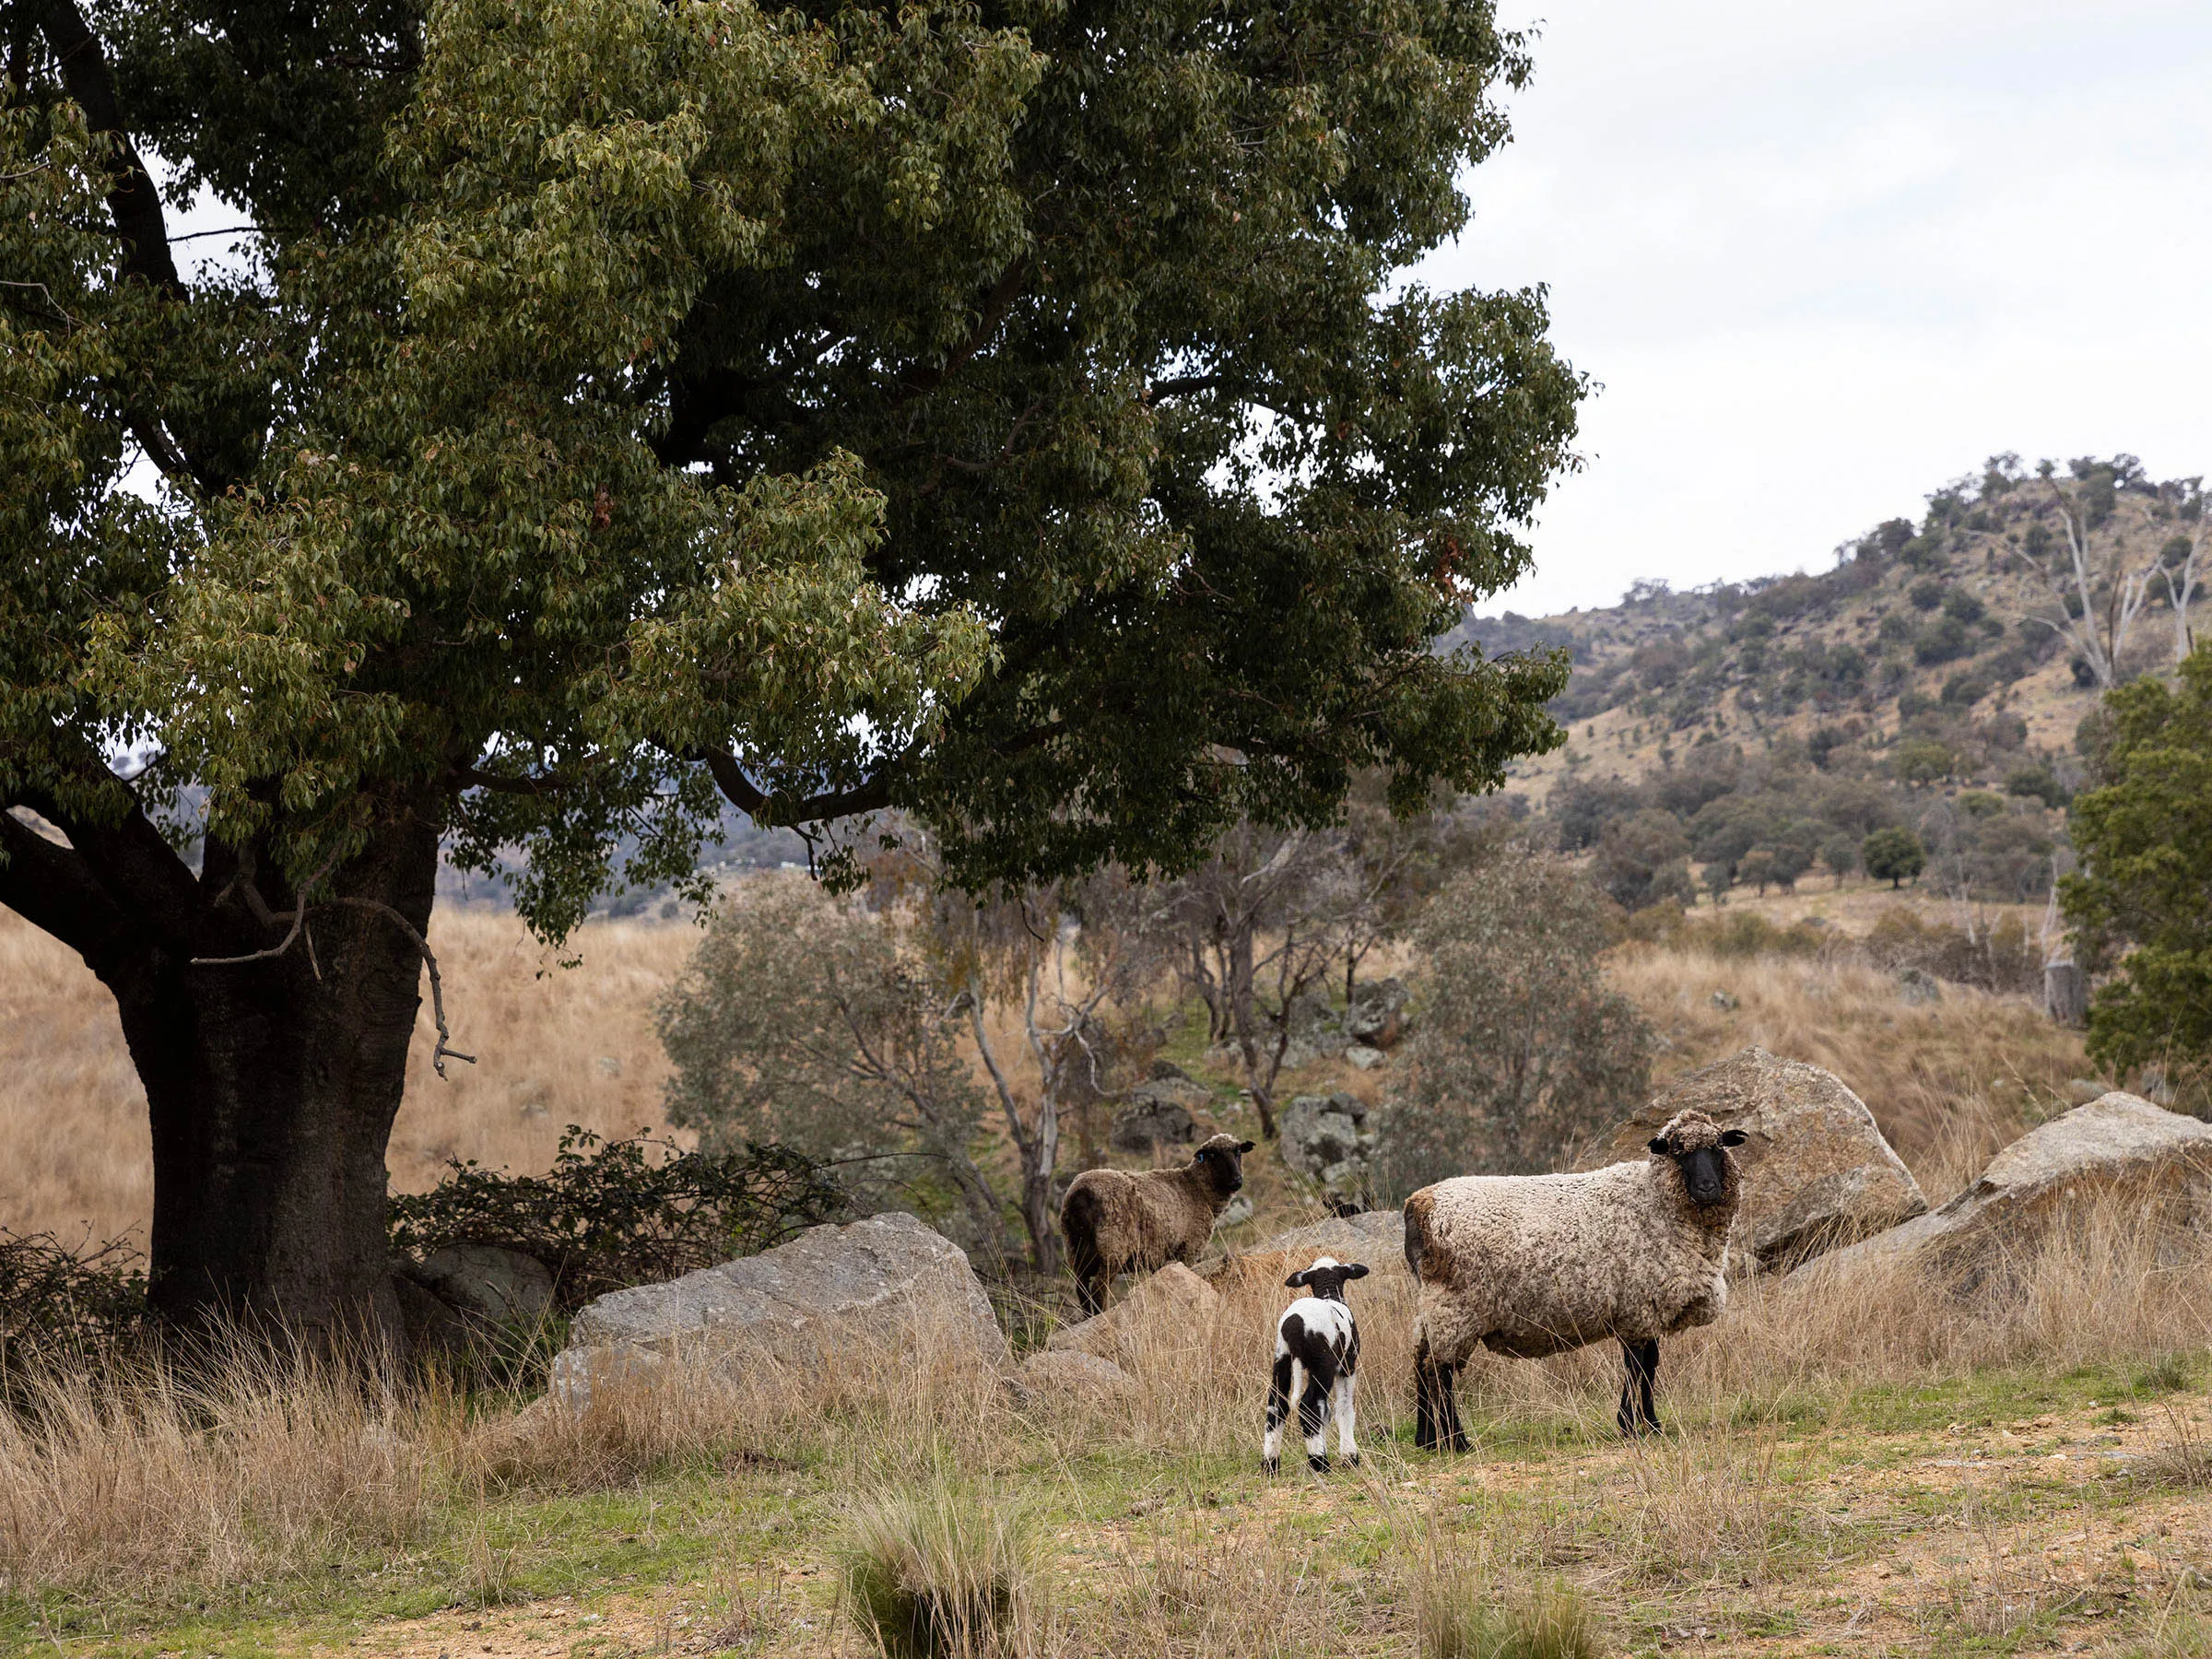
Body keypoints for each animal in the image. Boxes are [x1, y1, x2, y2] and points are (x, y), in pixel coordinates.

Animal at [1062, 1141, 1256, 1318]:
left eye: (1238, 1152)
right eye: (1213, 1155)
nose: (1237, 1180)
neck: (1197, 1189)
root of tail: (1081, 1193)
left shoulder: (1158, 1258)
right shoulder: (1190, 1249)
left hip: (1075, 1250)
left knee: (1082, 1290)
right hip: (1112, 1247)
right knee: (1098, 1289)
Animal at [1265, 1256, 1362, 1477]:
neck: (1329, 1294)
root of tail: (1294, 1327)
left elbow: (1325, 1412)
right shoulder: (1347, 1367)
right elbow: (1344, 1408)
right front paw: (1350, 1457)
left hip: (1282, 1359)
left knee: (1276, 1405)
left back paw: (1270, 1463)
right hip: (1323, 1364)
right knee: (1308, 1406)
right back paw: (1319, 1462)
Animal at [1397, 1110, 1743, 1451]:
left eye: (1717, 1147)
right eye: (1678, 1150)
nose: (1707, 1187)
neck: (1654, 1200)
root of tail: (1419, 1205)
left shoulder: (1649, 1311)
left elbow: (1649, 1366)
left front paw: (1650, 1424)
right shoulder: (1637, 1308)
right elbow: (1636, 1366)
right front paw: (1631, 1425)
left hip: (1434, 1304)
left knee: (1421, 1361)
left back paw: (1425, 1439)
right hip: (1455, 1307)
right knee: (1439, 1371)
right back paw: (1457, 1441)